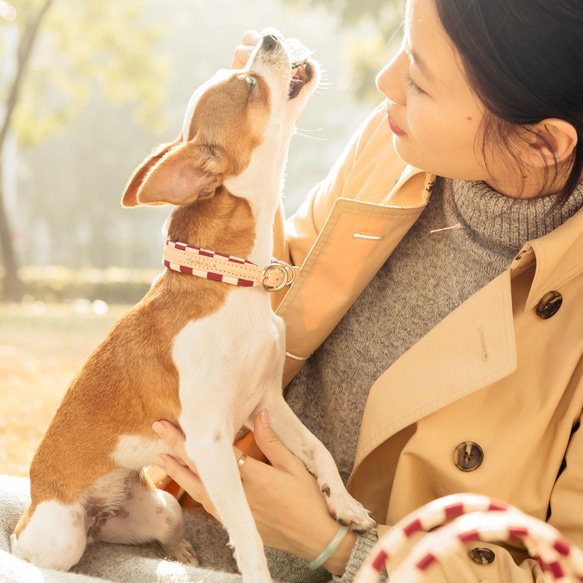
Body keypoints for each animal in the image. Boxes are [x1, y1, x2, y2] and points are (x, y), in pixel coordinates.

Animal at [11, 32, 376, 583]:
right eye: (249, 86)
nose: (268, 35)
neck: (230, 280)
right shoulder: (209, 440)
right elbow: (246, 528)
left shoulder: (268, 403)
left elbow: (318, 448)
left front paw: (346, 504)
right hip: (60, 536)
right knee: (38, 554)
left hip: (159, 507)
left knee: (157, 531)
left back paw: (181, 553)